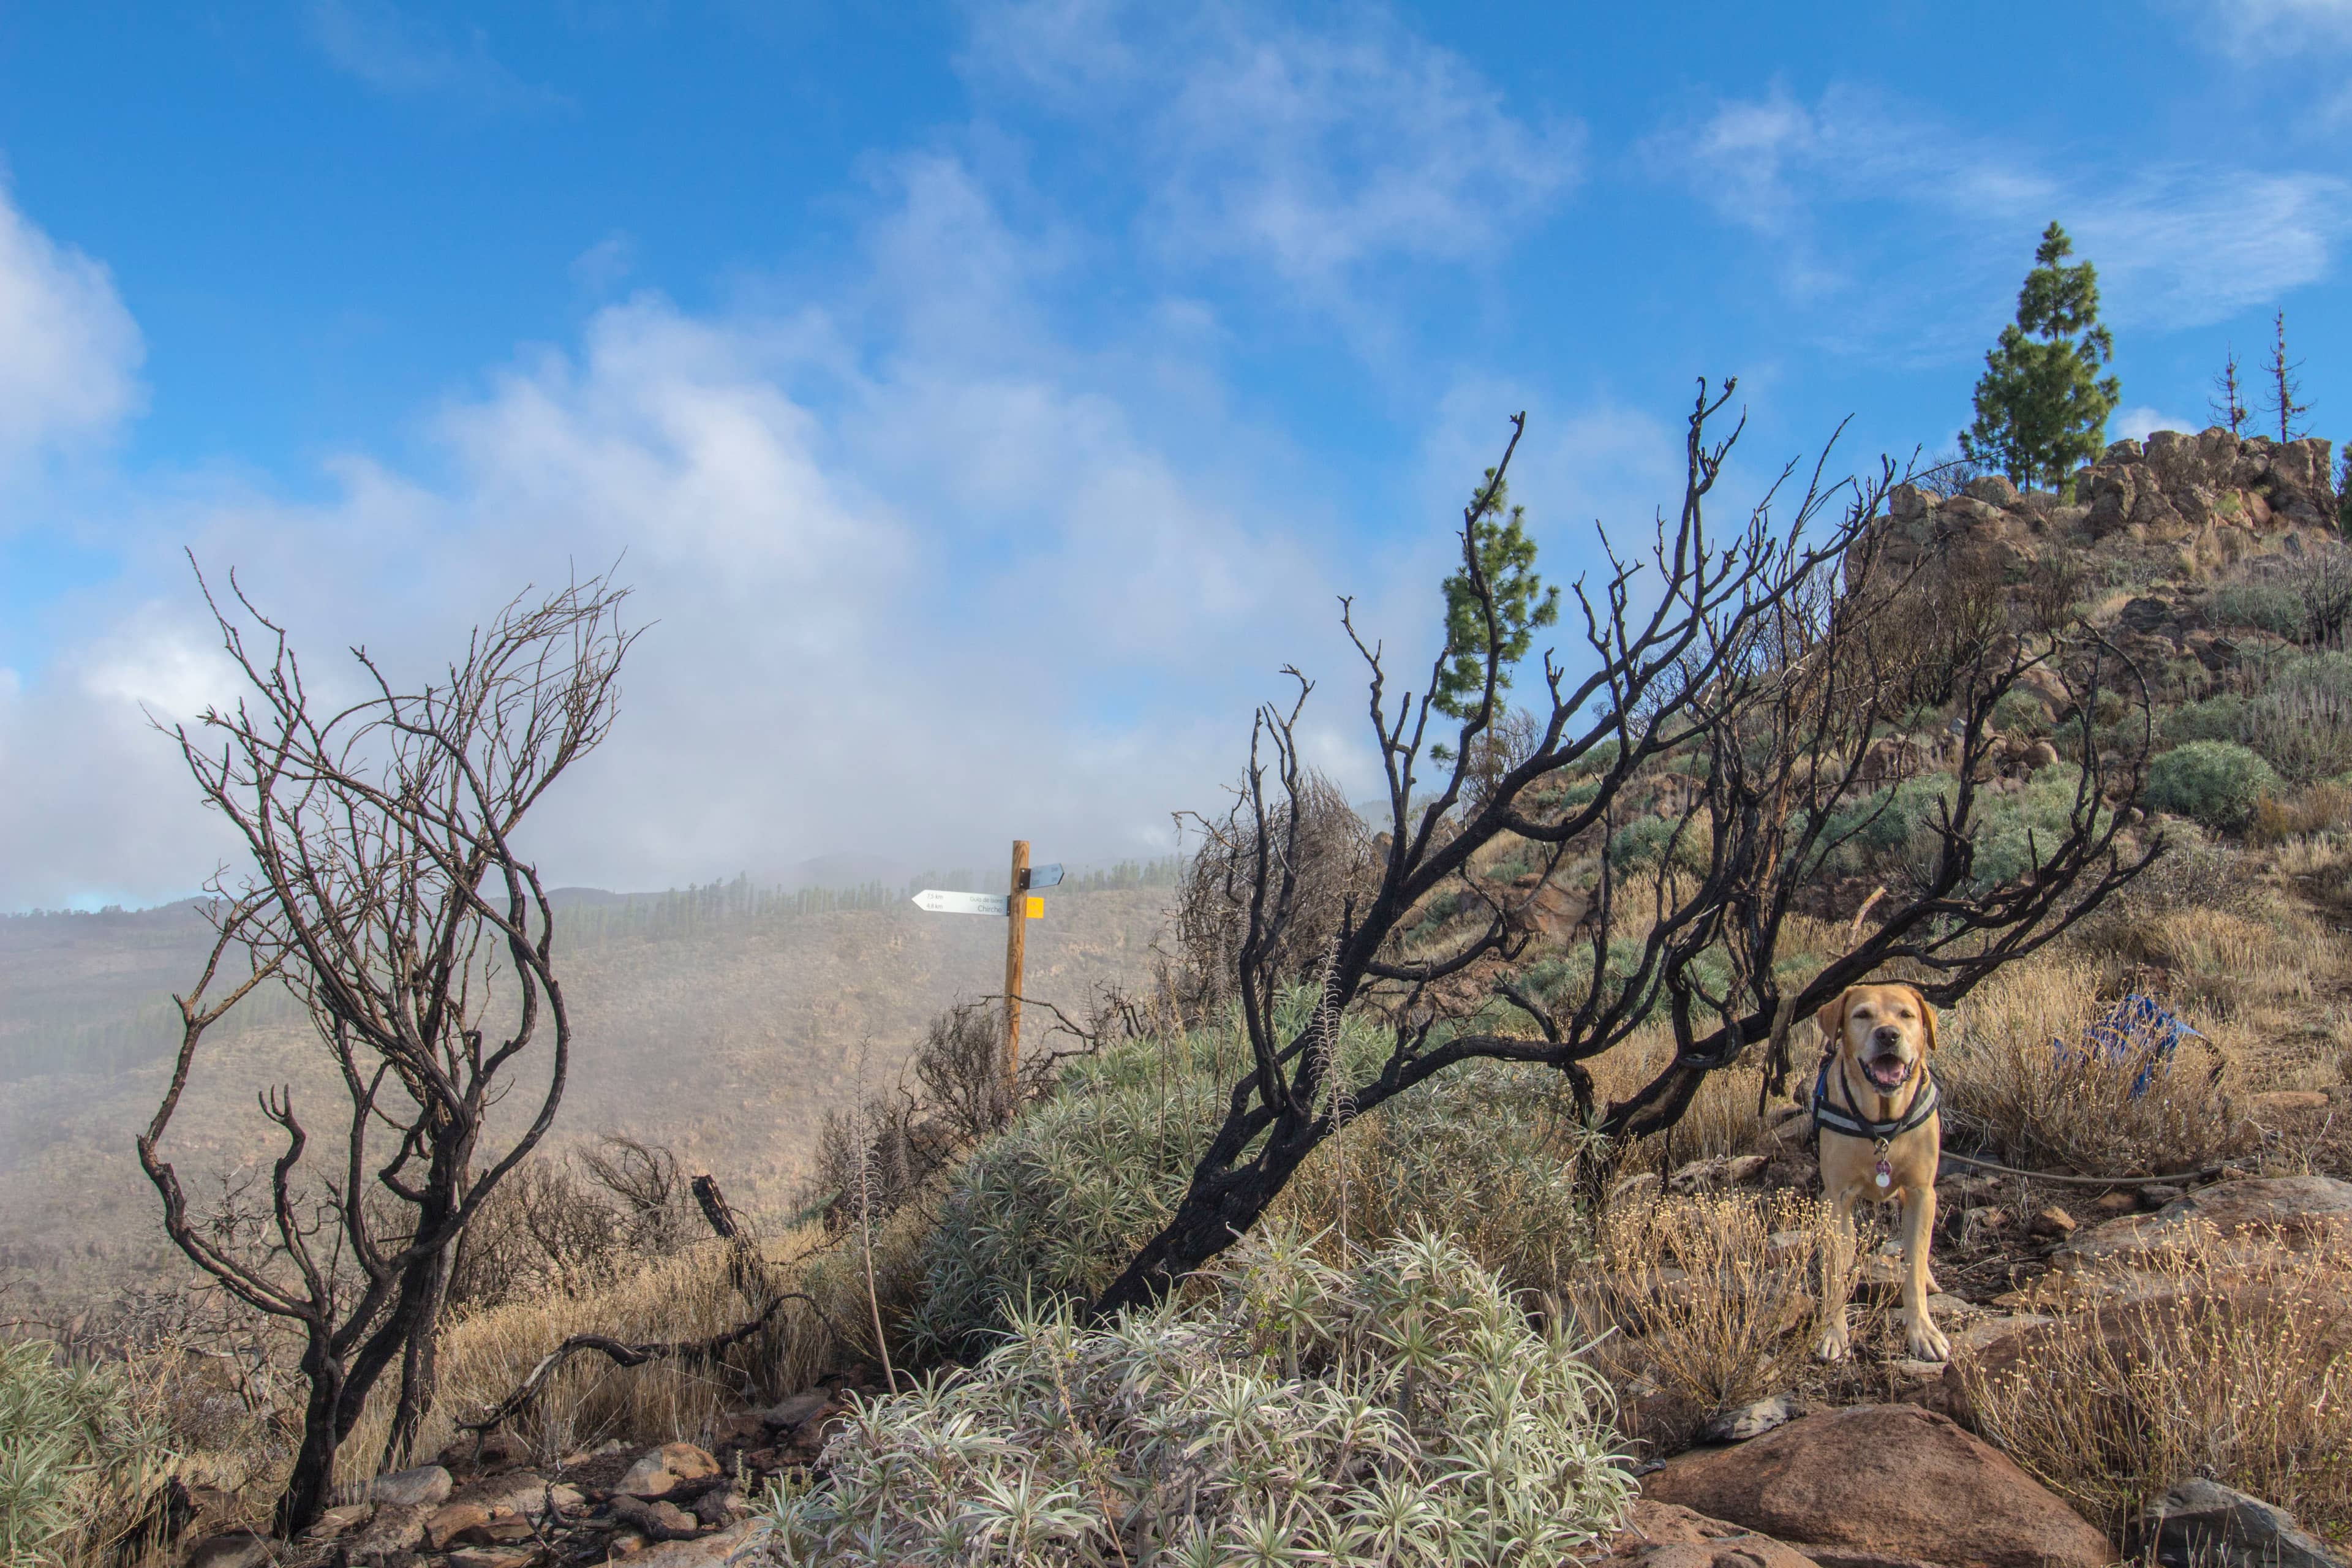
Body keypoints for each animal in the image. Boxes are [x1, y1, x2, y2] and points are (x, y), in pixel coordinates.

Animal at [1806, 982, 1956, 1363]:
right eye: (1862, 1015)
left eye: (1907, 1015)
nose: (1888, 1035)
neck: (1882, 1123)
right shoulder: (1836, 1196)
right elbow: (1835, 1272)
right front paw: (1833, 1332)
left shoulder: (1921, 1191)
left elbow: (1915, 1262)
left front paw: (1923, 1332)